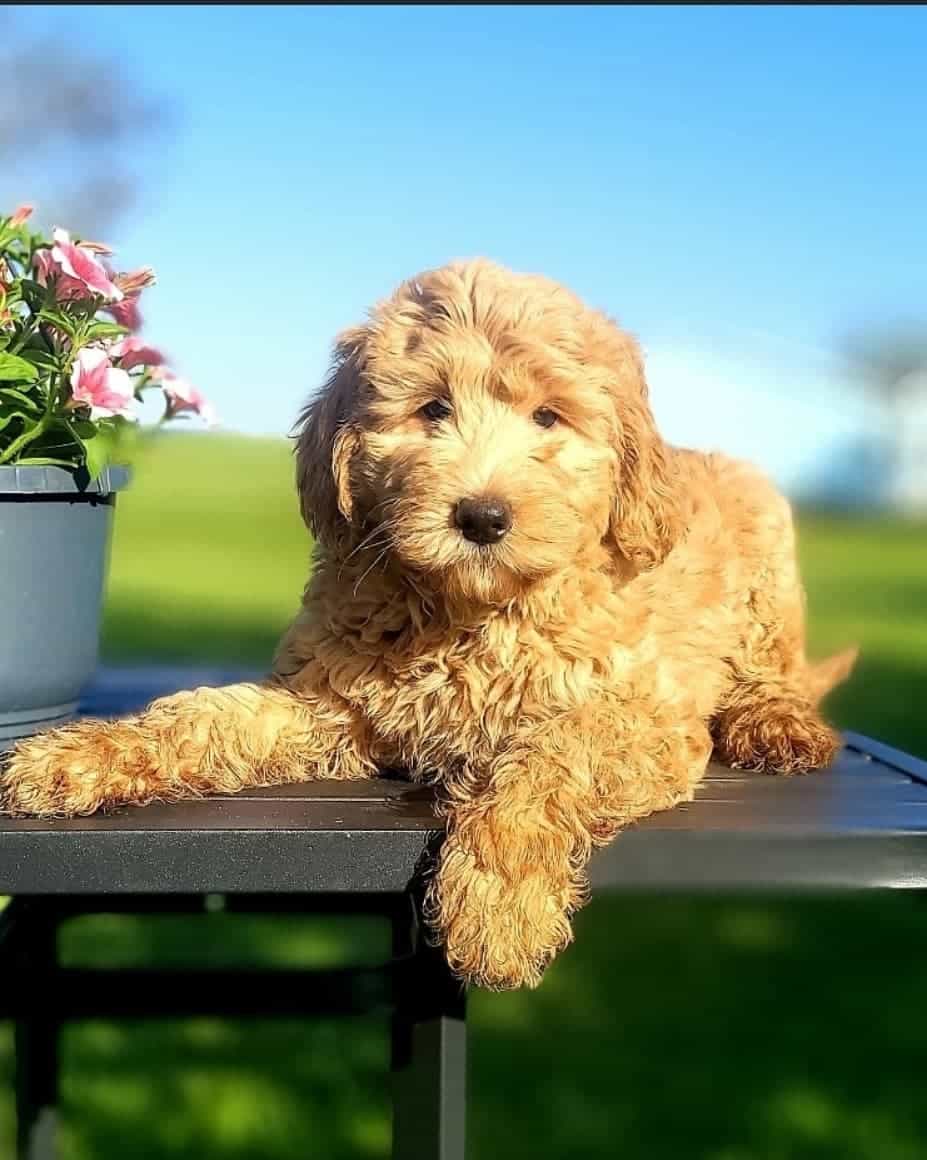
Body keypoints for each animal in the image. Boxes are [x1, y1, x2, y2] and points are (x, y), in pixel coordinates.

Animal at [0, 261, 853, 988]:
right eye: (431, 408)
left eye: (547, 416)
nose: (481, 516)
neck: (468, 614)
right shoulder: (328, 703)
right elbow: (203, 718)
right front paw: (77, 759)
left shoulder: (638, 717)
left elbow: (546, 764)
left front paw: (499, 911)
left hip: (767, 565)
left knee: (775, 669)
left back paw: (775, 722)